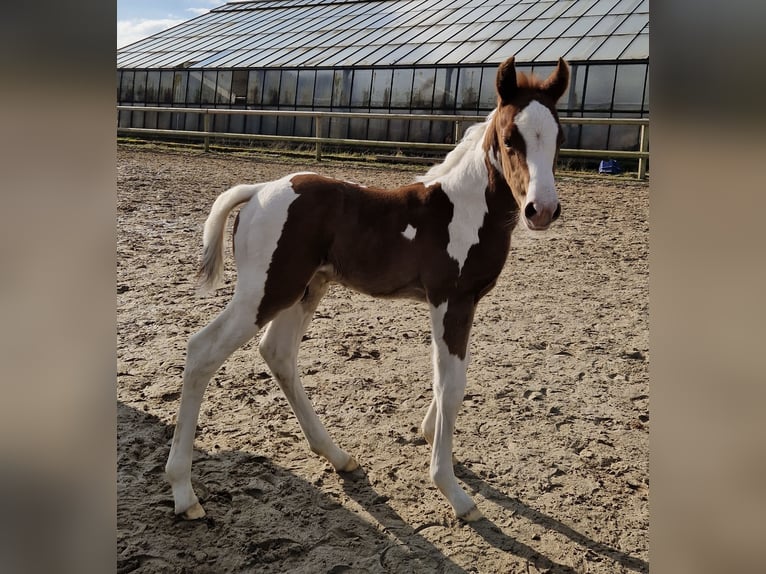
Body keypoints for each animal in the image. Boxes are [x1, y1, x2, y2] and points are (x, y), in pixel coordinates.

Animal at [165, 56, 570, 522]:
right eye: (509, 139)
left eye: (559, 137)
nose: (542, 210)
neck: (464, 209)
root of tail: (258, 191)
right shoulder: (450, 299)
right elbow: (451, 385)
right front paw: (452, 488)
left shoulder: (463, 305)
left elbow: (448, 374)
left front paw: (427, 433)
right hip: (264, 292)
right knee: (202, 351)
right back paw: (184, 492)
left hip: (306, 289)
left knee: (278, 353)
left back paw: (338, 457)